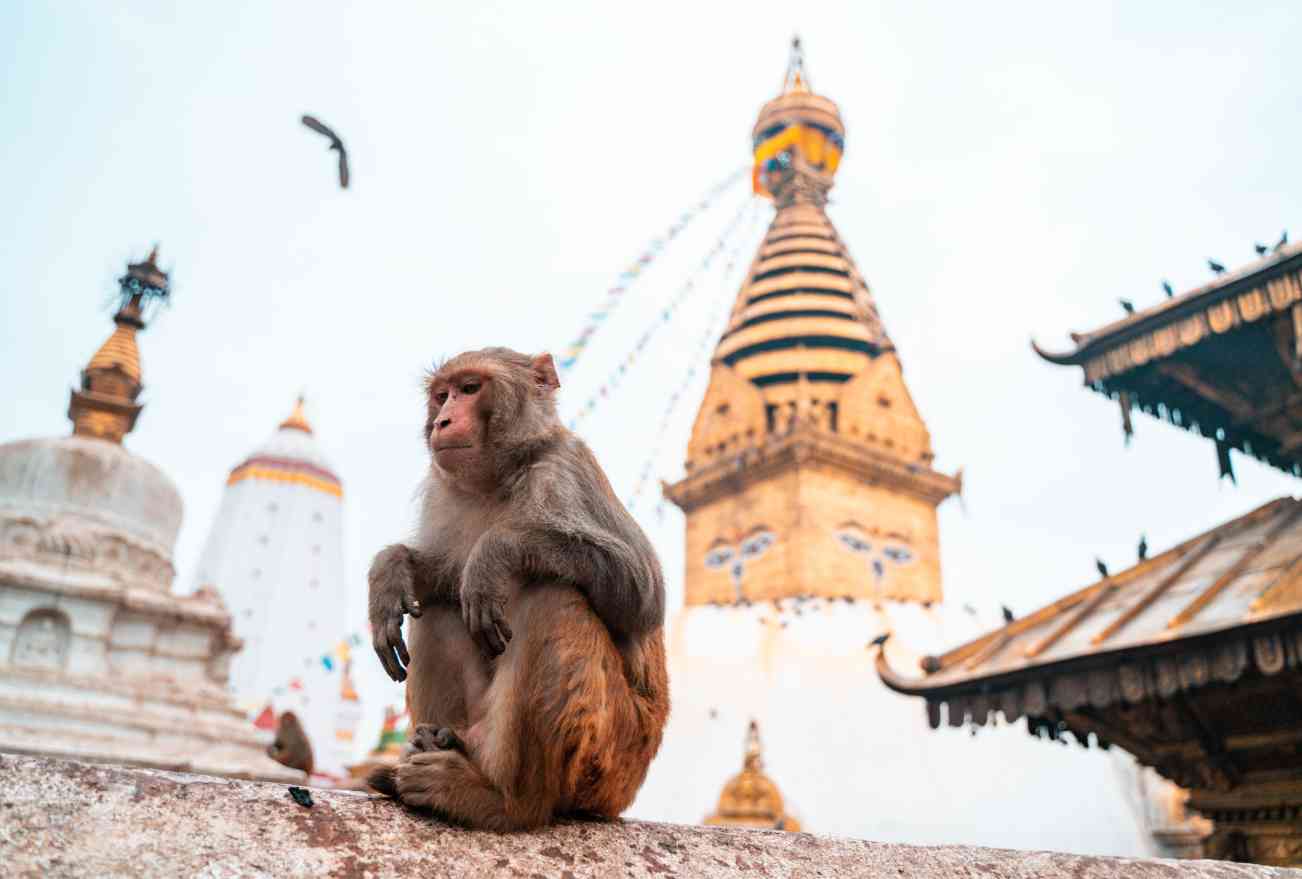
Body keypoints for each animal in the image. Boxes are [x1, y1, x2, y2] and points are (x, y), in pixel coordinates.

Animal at [367, 346, 671, 828]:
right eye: (442, 395)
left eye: (470, 388)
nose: (443, 421)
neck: (500, 476)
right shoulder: (443, 493)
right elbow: (445, 581)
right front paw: (390, 571)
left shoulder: (566, 470)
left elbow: (642, 594)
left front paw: (497, 551)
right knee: (437, 608)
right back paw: (439, 751)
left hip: (610, 757)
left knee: (550, 595)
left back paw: (500, 800)